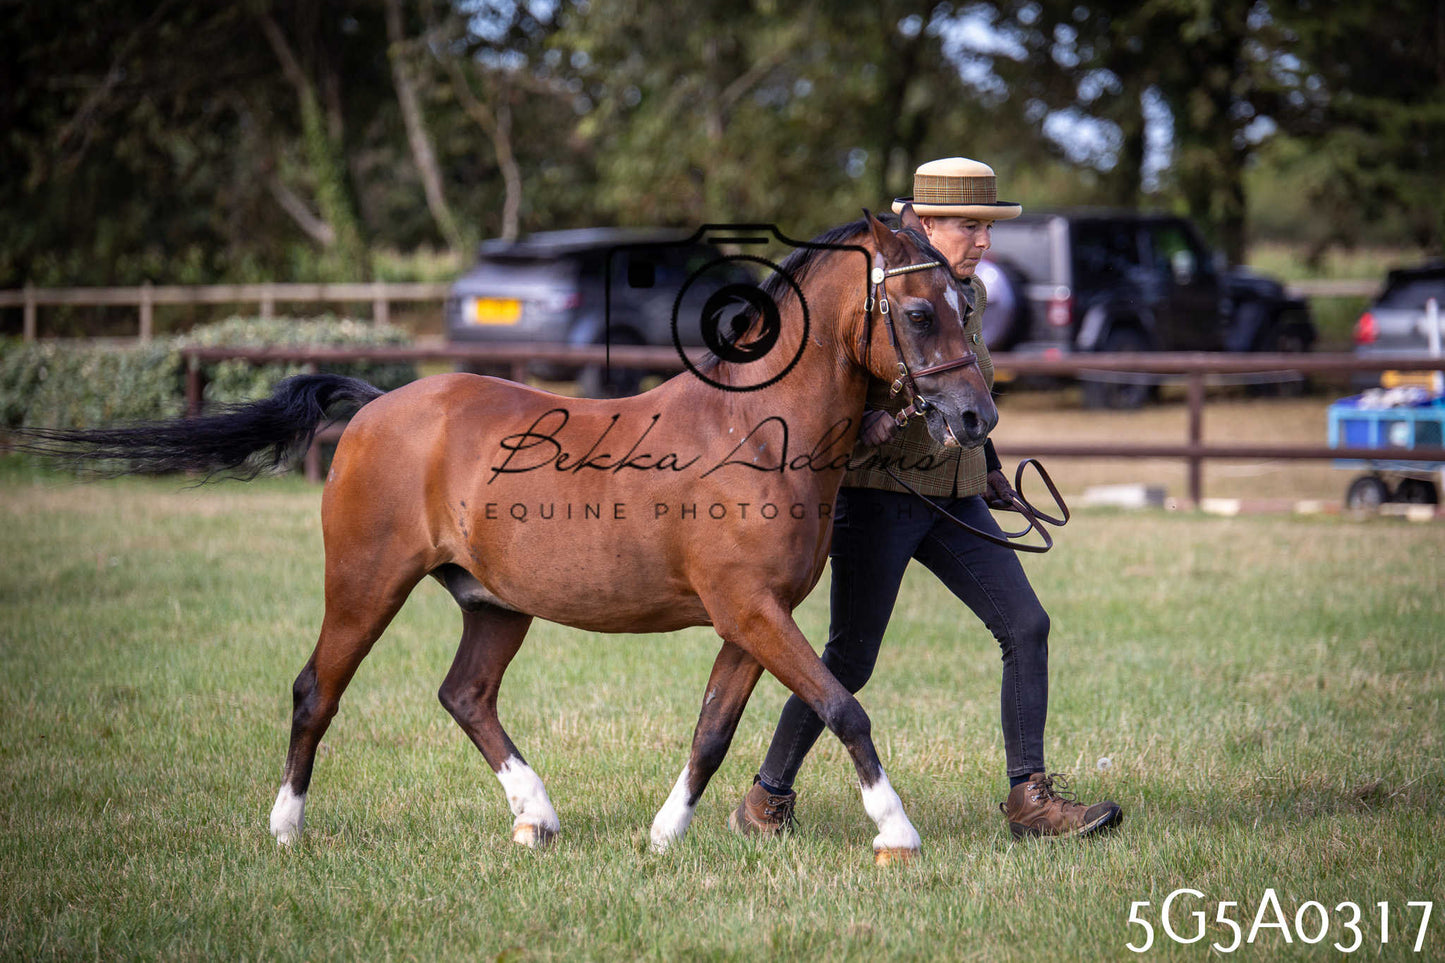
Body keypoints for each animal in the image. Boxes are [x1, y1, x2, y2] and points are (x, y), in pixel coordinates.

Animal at [20, 213, 998, 861]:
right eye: (919, 312)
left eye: (964, 302)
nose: (974, 416)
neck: (750, 428)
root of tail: (376, 405)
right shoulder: (750, 610)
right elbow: (842, 704)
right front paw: (897, 832)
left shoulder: (748, 621)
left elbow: (713, 731)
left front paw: (662, 835)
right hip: (366, 584)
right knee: (315, 691)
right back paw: (286, 827)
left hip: (493, 603)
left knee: (464, 694)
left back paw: (536, 815)